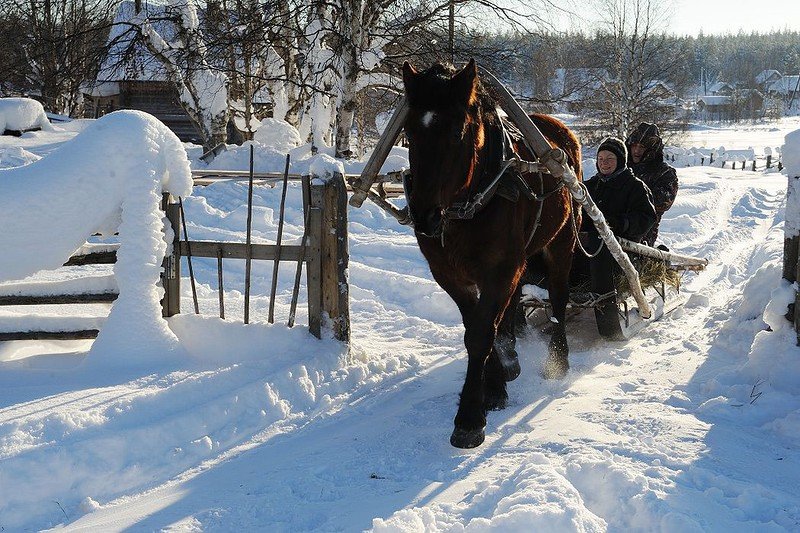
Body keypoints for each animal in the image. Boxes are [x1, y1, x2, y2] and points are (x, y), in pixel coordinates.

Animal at [400, 59, 580, 448]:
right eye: (408, 132)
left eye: (457, 132)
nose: (424, 217)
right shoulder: (449, 274)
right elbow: (477, 328)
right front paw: (495, 386)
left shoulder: (500, 269)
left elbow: (482, 332)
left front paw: (470, 417)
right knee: (513, 305)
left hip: (561, 244)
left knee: (559, 298)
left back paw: (558, 359)